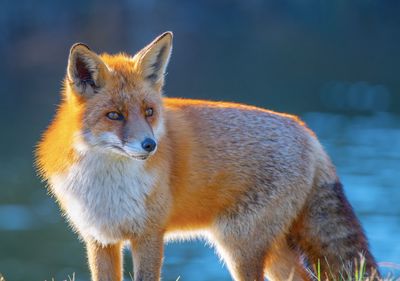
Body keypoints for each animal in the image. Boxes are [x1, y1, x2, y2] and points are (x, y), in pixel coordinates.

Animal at [36, 31, 380, 280]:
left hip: (240, 248)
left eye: (149, 112)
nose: (150, 145)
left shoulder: (149, 235)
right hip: (272, 251)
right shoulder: (100, 239)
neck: (107, 183)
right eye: (114, 116)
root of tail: (307, 132)